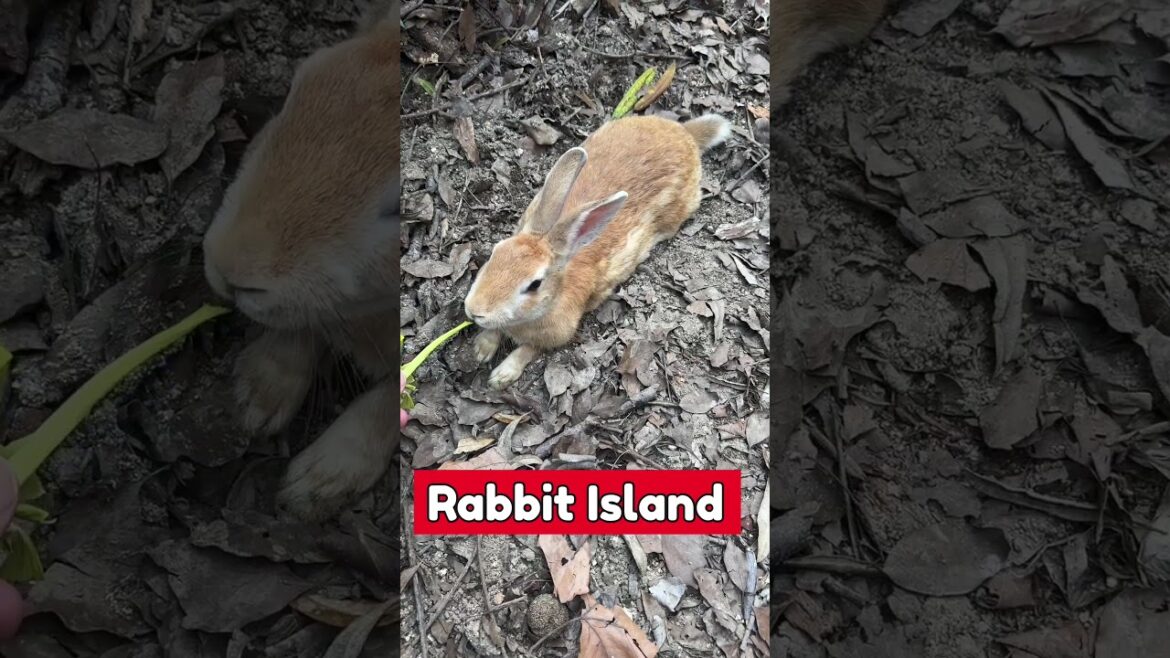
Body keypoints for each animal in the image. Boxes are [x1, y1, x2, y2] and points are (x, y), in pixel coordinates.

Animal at [463, 113, 731, 390]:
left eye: (534, 284)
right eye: (495, 252)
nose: (474, 310)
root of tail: (685, 134)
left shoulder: (558, 334)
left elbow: (529, 350)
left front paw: (501, 376)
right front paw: (481, 349)